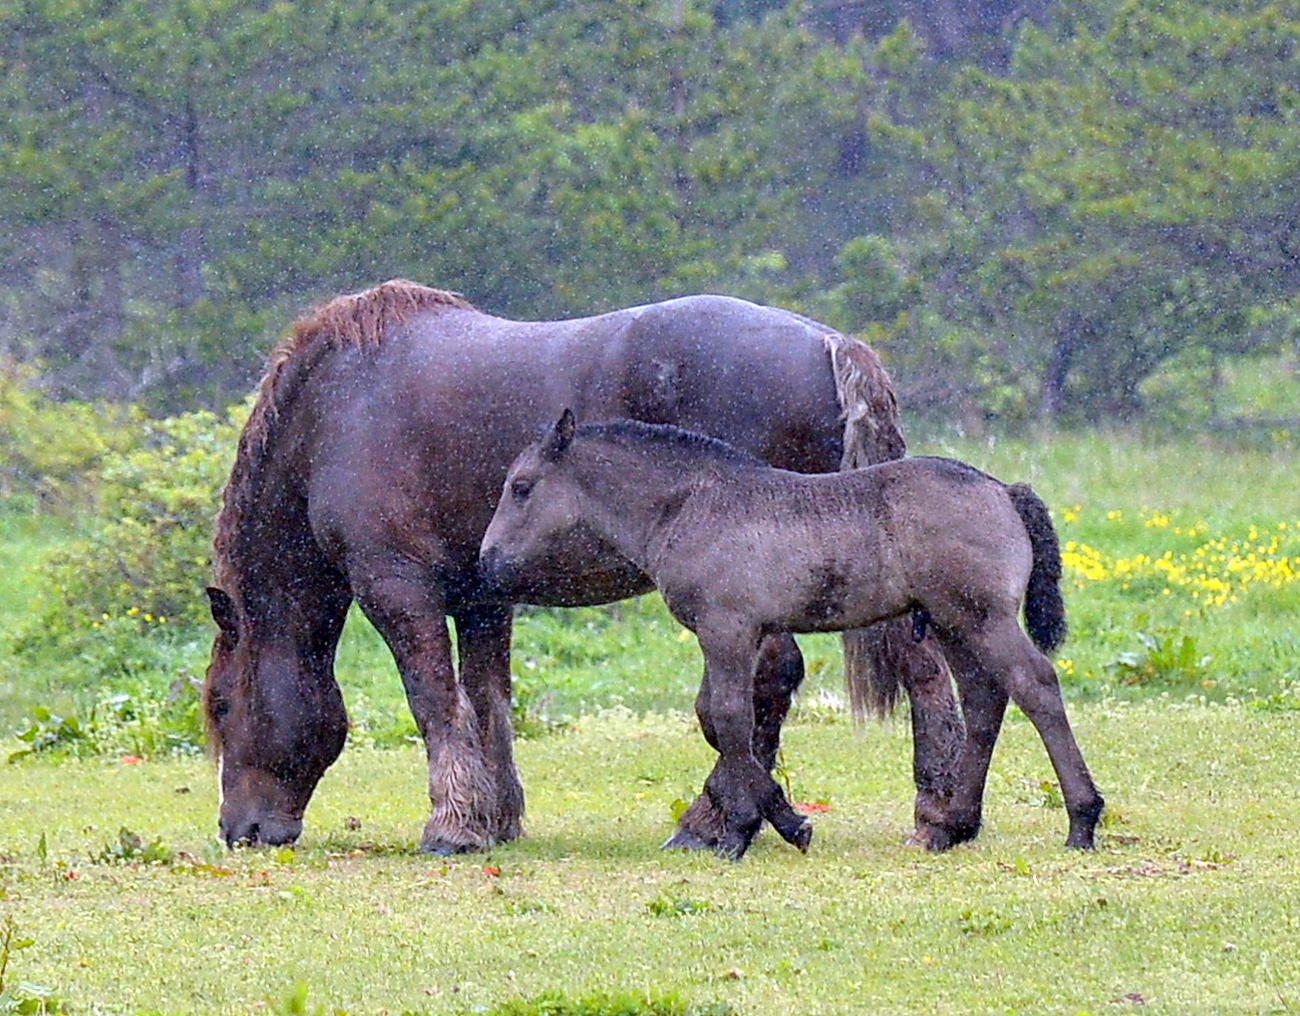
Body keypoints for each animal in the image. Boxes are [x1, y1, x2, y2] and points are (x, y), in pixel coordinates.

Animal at [202, 279, 965, 854]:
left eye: (219, 705)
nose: (240, 830)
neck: (338, 410)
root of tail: (831, 344)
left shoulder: (396, 587)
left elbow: (433, 700)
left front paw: (451, 826)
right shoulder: (482, 597)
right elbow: (487, 699)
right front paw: (495, 818)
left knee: (768, 683)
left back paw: (713, 821)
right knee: (919, 667)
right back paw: (942, 814)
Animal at [480, 411, 1104, 859]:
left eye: (522, 487)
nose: (487, 559)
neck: (691, 504)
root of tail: (1003, 489)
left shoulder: (727, 629)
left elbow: (731, 717)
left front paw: (767, 825)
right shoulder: (744, 632)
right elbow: (715, 718)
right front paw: (747, 821)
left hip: (983, 616)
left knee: (1035, 684)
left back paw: (1081, 820)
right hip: (951, 621)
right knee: (984, 700)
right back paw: (952, 826)